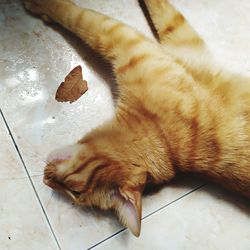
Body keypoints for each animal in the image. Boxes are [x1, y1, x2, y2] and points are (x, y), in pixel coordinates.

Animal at [23, 0, 250, 236]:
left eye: (73, 192)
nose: (45, 179)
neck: (165, 141)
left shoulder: (122, 37)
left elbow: (74, 16)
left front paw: (39, 5)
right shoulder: (185, 44)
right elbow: (162, 8)